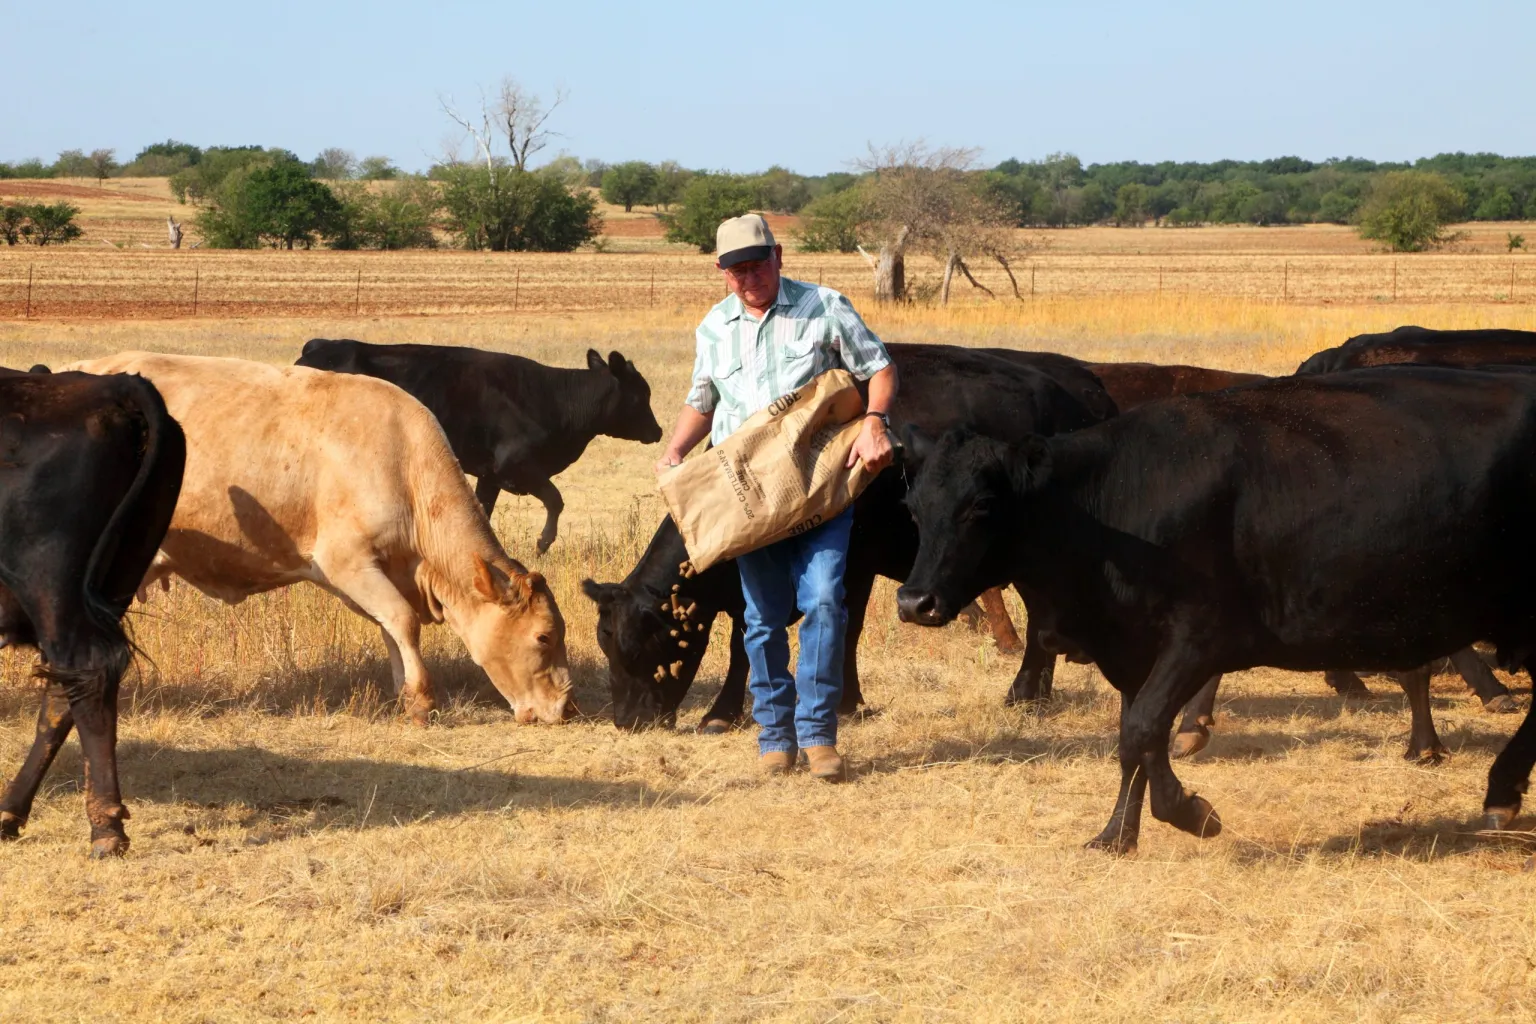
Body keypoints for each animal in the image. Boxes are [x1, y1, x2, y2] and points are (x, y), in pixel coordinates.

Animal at [0, 370, 186, 857]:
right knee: (67, 690)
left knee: (86, 671)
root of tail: (110, 386)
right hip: (117, 573)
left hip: (51, 585)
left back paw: (106, 829)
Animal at [65, 352, 573, 726]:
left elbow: (391, 626)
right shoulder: (346, 561)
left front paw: (404, 693)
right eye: (544, 636)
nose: (567, 708)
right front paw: (422, 699)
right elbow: (403, 620)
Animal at [296, 339, 664, 554]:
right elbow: (555, 499)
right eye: (641, 394)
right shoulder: (516, 465)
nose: (658, 431)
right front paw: (543, 543)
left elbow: (483, 512)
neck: (554, 399)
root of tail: (316, 348)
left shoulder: (490, 475)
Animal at [580, 342, 1118, 730]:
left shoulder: (853, 565)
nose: (626, 722)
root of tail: (1087, 390)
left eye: (638, 650)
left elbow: (842, 632)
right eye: (606, 649)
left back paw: (1025, 692)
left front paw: (841, 702)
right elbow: (748, 640)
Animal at [895, 366, 1536, 853]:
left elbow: (1142, 729)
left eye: (981, 505)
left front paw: (1190, 811)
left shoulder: (1198, 638)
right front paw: (1117, 834)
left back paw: (1501, 794)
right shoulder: (1132, 649)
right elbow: (1135, 738)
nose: (914, 601)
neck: (1114, 504)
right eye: (914, 505)